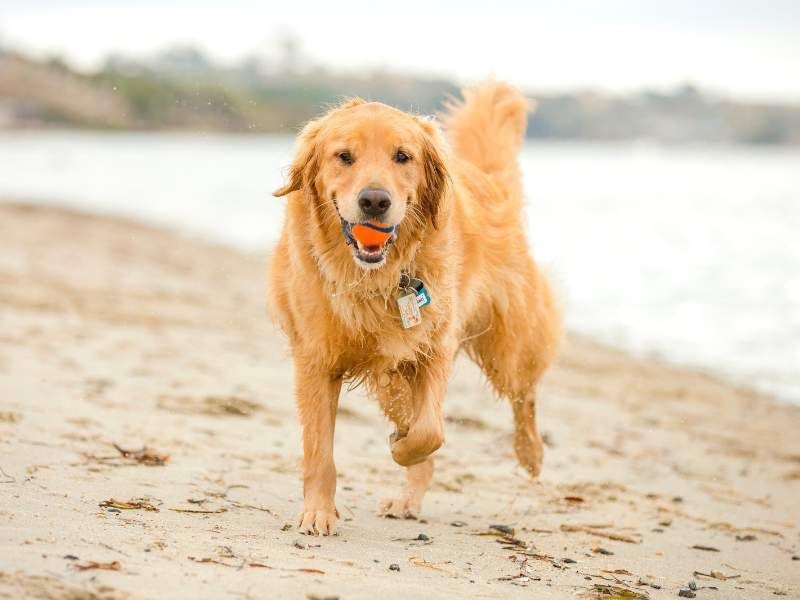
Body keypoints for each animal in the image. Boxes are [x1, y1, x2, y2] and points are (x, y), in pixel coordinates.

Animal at [272, 79, 560, 536]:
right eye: (344, 156)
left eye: (403, 156)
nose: (374, 200)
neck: (375, 277)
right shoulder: (317, 359)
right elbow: (320, 451)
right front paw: (318, 512)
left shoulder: (434, 346)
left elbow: (429, 431)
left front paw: (402, 446)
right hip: (392, 378)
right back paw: (407, 497)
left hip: (508, 345)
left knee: (524, 395)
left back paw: (530, 453)